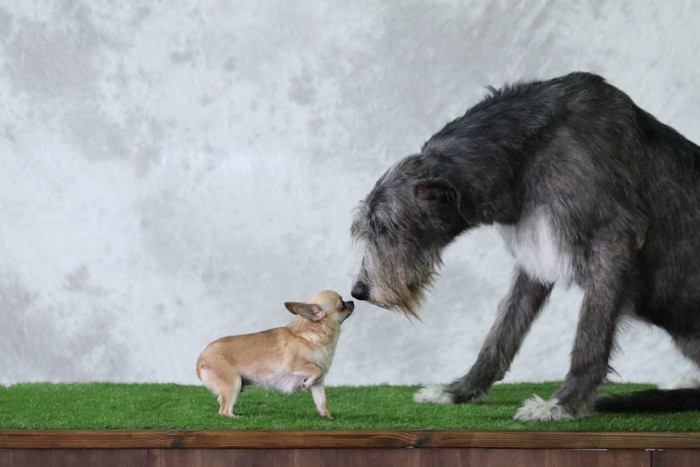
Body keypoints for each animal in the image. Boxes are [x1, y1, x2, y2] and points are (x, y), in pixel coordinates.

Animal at [352, 72, 700, 420]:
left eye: (386, 226)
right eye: (365, 228)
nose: (358, 291)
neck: (527, 151)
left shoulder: (613, 241)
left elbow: (590, 336)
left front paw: (564, 403)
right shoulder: (536, 252)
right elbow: (504, 329)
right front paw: (460, 390)